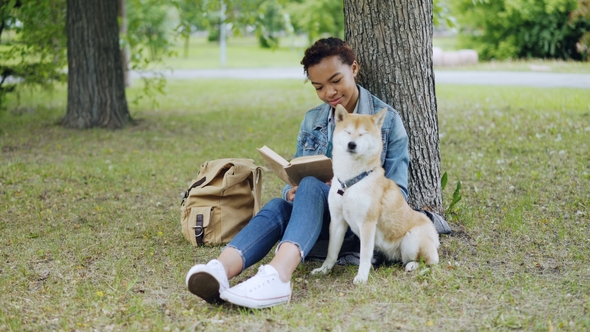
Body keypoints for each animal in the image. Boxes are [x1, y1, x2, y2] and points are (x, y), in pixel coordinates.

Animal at [312, 105, 442, 282]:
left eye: (363, 133)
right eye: (348, 131)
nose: (351, 144)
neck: (350, 182)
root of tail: (434, 233)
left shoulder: (367, 223)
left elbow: (365, 255)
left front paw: (361, 277)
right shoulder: (338, 221)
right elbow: (331, 252)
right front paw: (324, 270)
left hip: (411, 240)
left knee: (430, 261)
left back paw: (413, 265)